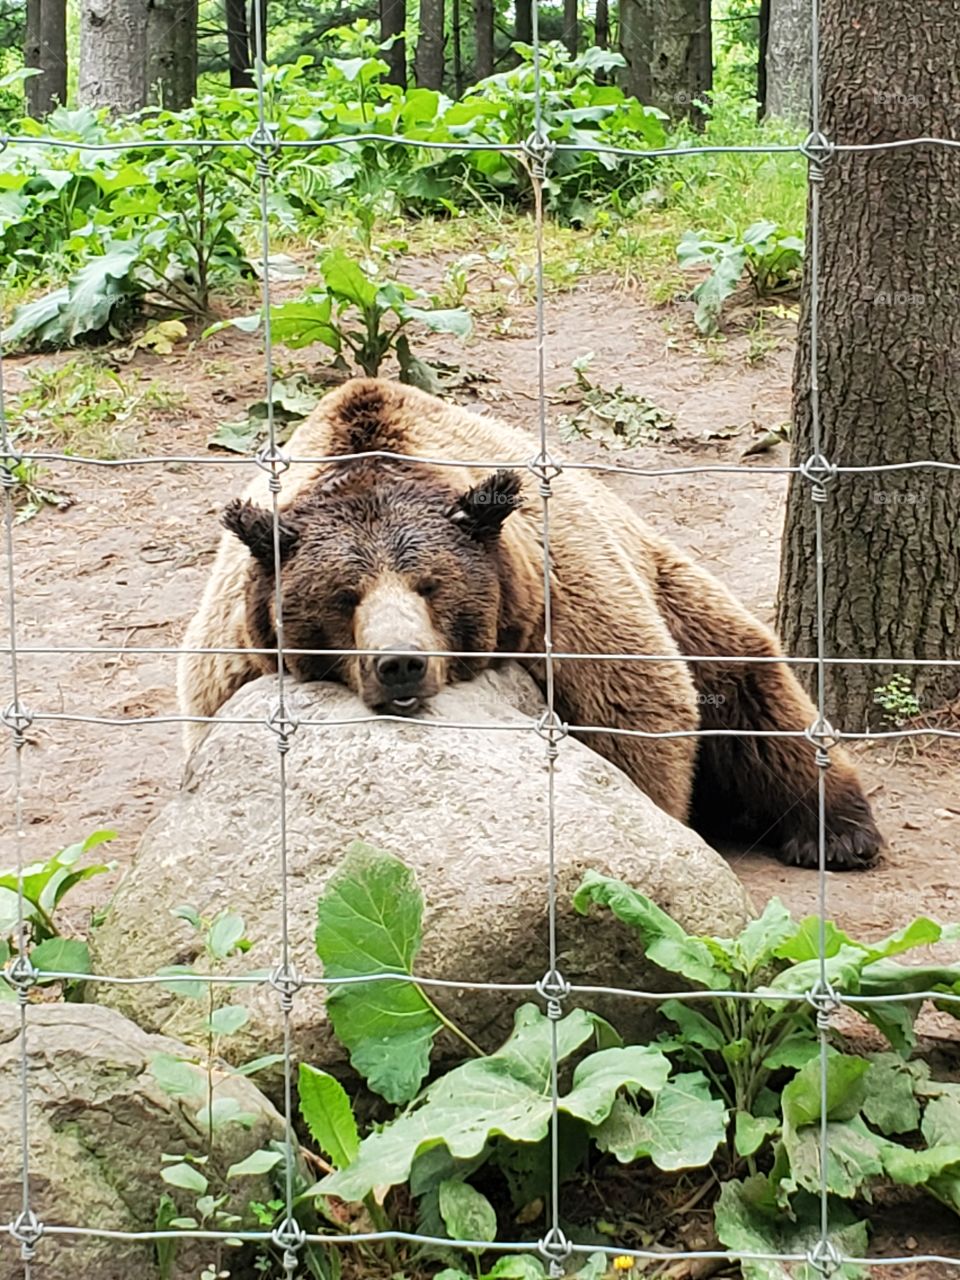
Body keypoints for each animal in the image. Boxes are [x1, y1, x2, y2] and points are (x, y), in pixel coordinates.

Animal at [178, 377, 883, 871]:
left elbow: (637, 719)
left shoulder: (558, 601)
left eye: (430, 586)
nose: (400, 663)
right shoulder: (237, 657)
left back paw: (836, 834)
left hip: (670, 587)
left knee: (752, 693)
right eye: (344, 597)